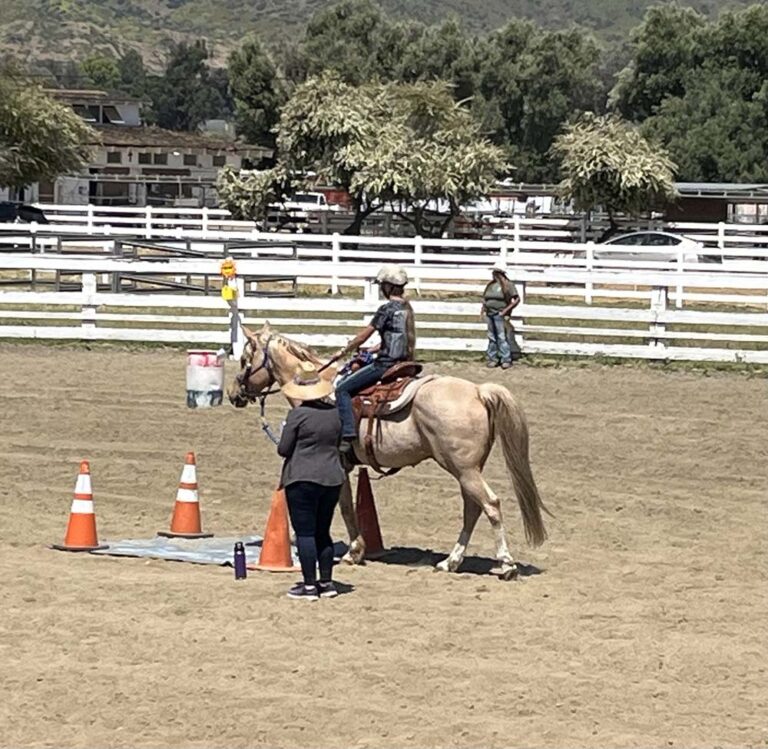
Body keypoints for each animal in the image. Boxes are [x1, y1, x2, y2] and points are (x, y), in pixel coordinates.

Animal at [227, 322, 549, 580]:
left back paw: (506, 565)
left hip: (465, 470)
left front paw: (353, 552)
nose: (233, 394)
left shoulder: (338, 465)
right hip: (467, 471)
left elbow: (345, 507)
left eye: (244, 359)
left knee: (490, 505)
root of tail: (478, 391)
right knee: (472, 509)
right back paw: (451, 561)